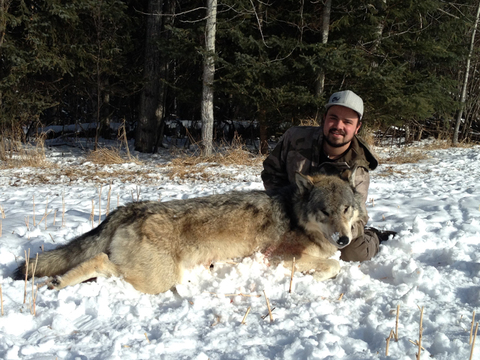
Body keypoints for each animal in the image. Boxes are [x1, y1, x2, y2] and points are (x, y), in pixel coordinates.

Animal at [15, 169, 366, 292]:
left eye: (346, 209)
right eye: (325, 212)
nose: (344, 238)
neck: (297, 215)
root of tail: (133, 207)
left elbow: (334, 261)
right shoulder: (278, 259)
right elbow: (333, 265)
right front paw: (318, 277)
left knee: (96, 262)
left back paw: (57, 283)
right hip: (159, 280)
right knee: (102, 262)